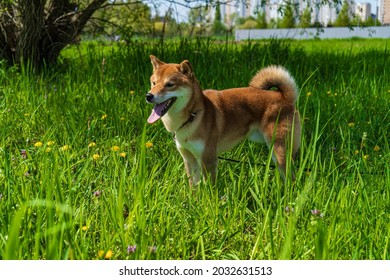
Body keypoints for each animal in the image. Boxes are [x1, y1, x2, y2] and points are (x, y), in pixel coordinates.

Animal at [146, 55, 302, 186]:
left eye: (169, 84)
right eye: (153, 83)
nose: (148, 95)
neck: (193, 115)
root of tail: (285, 98)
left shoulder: (208, 159)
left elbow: (210, 189)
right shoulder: (189, 159)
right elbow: (193, 186)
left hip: (279, 151)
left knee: (292, 178)